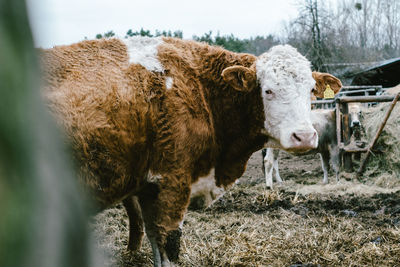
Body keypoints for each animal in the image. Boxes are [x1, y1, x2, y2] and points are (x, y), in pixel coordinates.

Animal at [40, 36, 322, 266]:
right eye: (268, 90)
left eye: (310, 90)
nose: (305, 136)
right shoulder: (172, 182)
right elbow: (169, 244)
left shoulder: (149, 189)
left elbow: (155, 239)